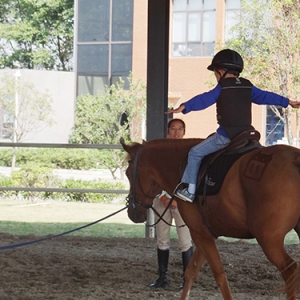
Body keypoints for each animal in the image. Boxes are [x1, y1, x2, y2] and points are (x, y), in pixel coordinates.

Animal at [120, 138, 300, 300]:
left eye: (128, 174)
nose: (132, 213)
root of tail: (294, 159)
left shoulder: (199, 233)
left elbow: (219, 275)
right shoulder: (204, 233)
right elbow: (191, 272)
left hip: (268, 240)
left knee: (290, 271)